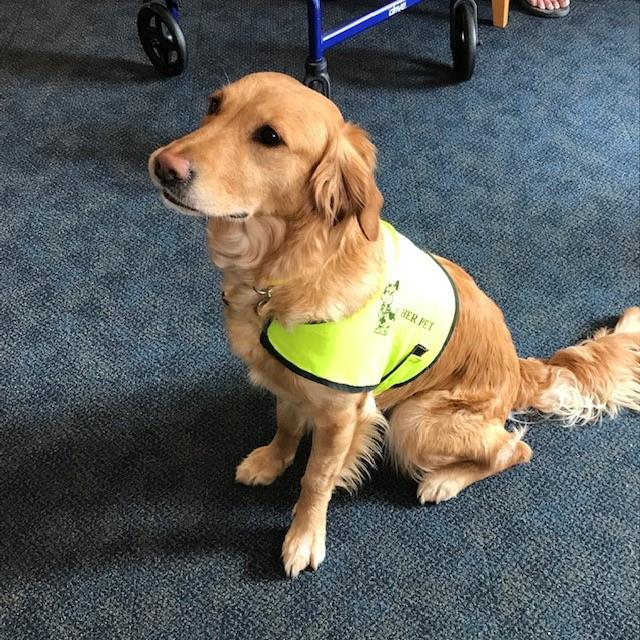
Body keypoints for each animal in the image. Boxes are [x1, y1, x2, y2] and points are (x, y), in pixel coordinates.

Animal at [148, 72, 636, 576]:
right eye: (213, 104)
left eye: (270, 137)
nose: (163, 166)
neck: (289, 268)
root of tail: (517, 368)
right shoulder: (285, 378)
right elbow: (285, 425)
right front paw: (270, 461)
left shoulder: (344, 413)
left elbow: (316, 478)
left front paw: (304, 536)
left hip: (414, 421)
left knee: (515, 448)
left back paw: (444, 482)